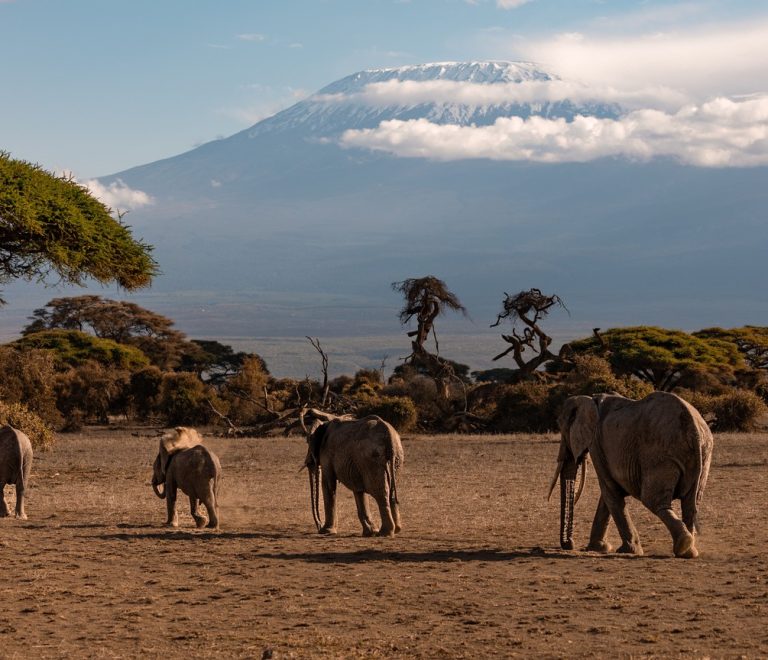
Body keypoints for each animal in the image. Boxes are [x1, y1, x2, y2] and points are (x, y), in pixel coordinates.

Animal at [550, 392, 713, 558]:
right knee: (691, 503)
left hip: (660, 455)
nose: (569, 544)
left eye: (562, 428)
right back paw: (689, 551)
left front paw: (627, 551)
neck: (589, 399)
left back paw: (683, 544)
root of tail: (694, 430)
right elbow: (608, 495)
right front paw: (599, 548)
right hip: (703, 454)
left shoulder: (596, 444)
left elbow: (609, 491)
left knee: (654, 501)